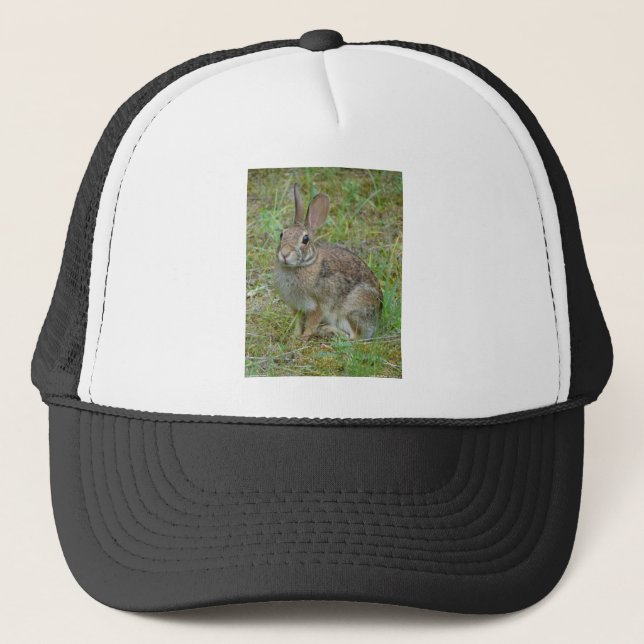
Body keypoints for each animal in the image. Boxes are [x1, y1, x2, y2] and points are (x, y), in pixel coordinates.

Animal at [274, 184, 383, 340]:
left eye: (305, 239)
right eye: (282, 234)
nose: (284, 254)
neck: (301, 266)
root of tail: (377, 318)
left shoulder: (320, 305)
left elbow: (311, 324)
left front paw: (304, 337)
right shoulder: (296, 306)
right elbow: (298, 323)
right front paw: (295, 336)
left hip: (352, 309)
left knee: (354, 337)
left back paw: (327, 330)